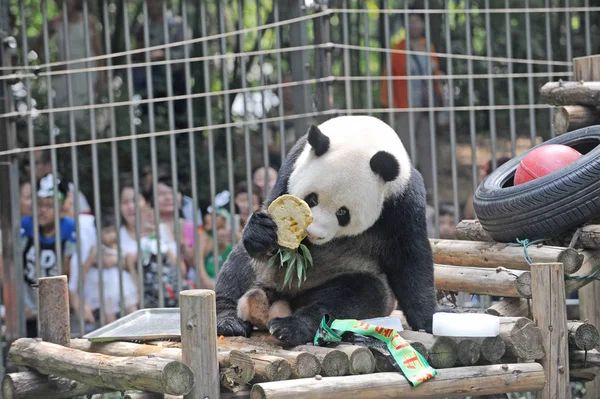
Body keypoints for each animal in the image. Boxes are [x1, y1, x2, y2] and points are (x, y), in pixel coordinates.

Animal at [216, 115, 436, 346]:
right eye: (312, 198)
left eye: (343, 213)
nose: (313, 234)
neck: (363, 135)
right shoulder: (290, 168)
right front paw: (265, 232)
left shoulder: (402, 201)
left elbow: (409, 257)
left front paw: (428, 318)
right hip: (261, 275)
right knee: (238, 268)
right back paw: (228, 321)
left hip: (344, 276)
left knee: (354, 297)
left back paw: (291, 327)